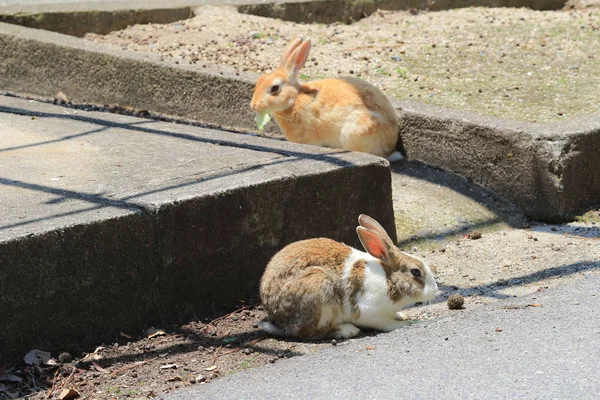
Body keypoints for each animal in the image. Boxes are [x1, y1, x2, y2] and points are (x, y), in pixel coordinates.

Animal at [258, 214, 436, 340]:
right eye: (415, 272)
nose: (435, 291)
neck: (389, 279)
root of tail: (275, 312)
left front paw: (402, 315)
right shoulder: (369, 312)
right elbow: (386, 324)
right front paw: (406, 323)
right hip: (318, 290)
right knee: (307, 332)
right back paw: (346, 331)